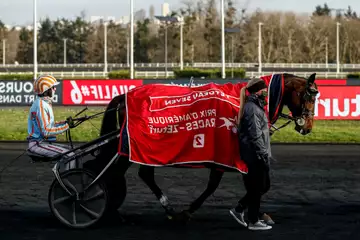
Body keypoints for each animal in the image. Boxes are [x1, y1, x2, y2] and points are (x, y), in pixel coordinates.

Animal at [89, 72, 318, 223]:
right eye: (309, 95)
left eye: (316, 96)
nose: (307, 126)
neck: (241, 101)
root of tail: (124, 97)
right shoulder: (227, 154)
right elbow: (224, 186)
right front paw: (191, 210)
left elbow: (260, 185)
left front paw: (254, 211)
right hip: (135, 147)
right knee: (128, 174)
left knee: (133, 174)